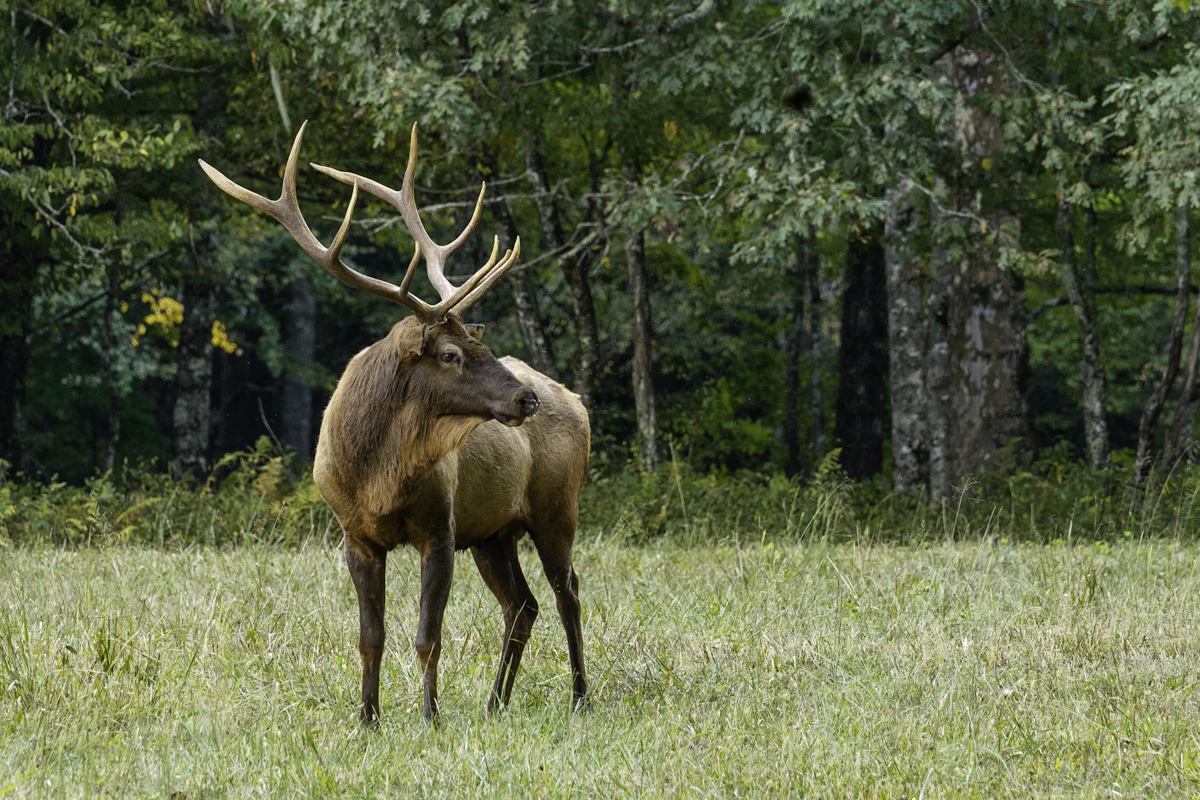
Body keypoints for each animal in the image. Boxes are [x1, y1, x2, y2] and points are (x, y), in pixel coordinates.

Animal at [199, 122, 590, 724]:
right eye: (452, 353)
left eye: (481, 343)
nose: (526, 400)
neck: (377, 475)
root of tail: (578, 402)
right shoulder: (355, 534)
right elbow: (371, 637)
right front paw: (368, 719)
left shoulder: (441, 529)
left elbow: (428, 636)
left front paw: (429, 717)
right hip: (494, 531)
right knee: (522, 605)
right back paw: (495, 703)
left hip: (555, 507)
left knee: (567, 591)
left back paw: (579, 697)